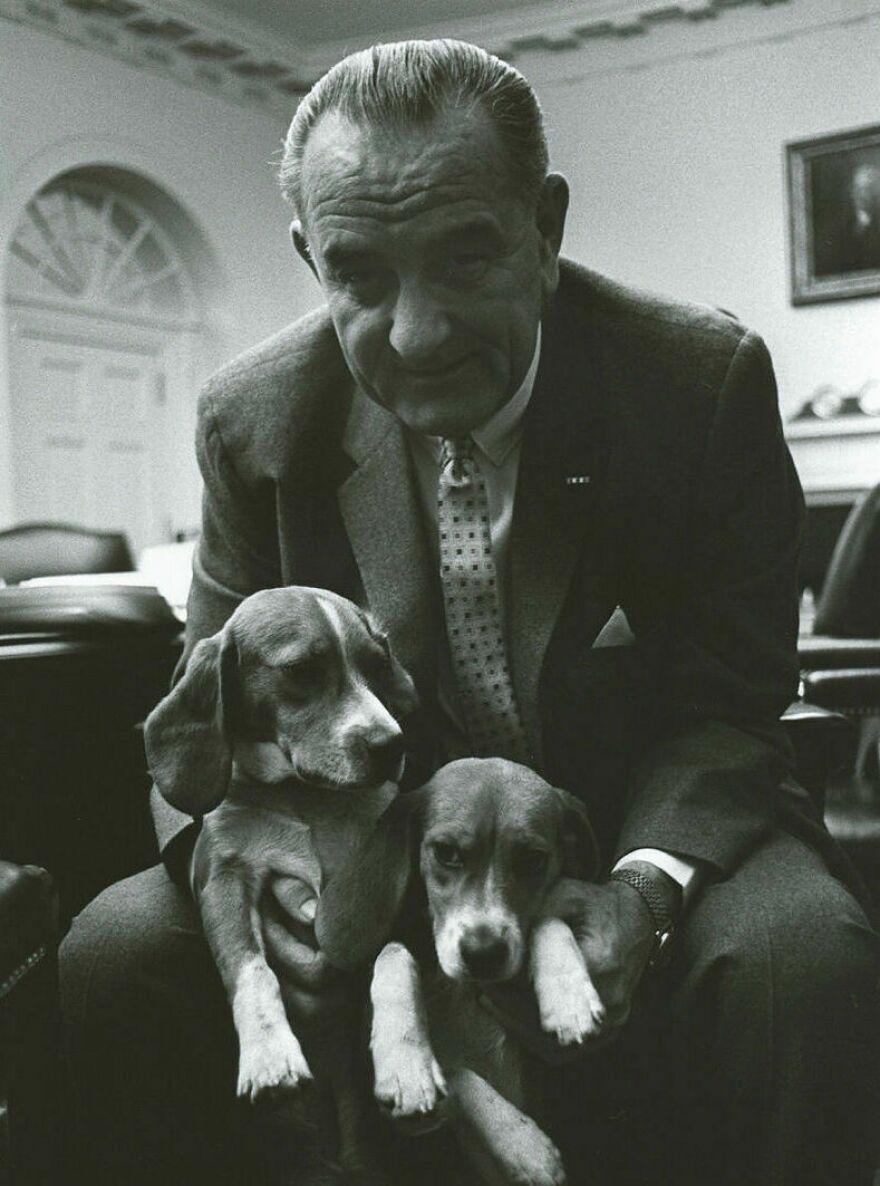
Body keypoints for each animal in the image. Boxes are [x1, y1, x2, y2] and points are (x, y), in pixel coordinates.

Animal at [142, 588, 419, 1114]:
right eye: (299, 670)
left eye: (377, 665)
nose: (392, 744)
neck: (303, 797)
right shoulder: (224, 881)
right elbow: (251, 972)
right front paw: (269, 1055)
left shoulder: (390, 883)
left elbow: (396, 959)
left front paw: (405, 1063)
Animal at [317, 759, 607, 1186]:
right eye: (446, 852)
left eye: (532, 859)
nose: (483, 953)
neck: (464, 989)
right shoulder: (393, 1127)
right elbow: (455, 1071)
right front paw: (406, 1064)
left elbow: (546, 920)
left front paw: (569, 997)